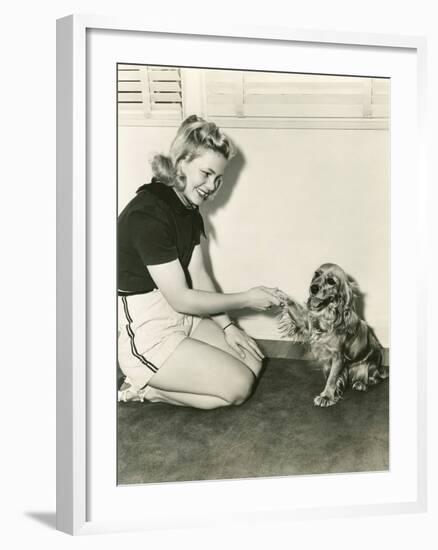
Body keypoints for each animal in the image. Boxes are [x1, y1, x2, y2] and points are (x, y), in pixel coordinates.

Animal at [278, 266, 388, 408]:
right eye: (316, 274)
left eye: (331, 281)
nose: (313, 288)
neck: (326, 316)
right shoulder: (306, 325)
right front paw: (281, 296)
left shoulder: (338, 357)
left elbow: (332, 378)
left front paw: (326, 396)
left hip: (368, 365)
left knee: (374, 379)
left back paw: (361, 383)